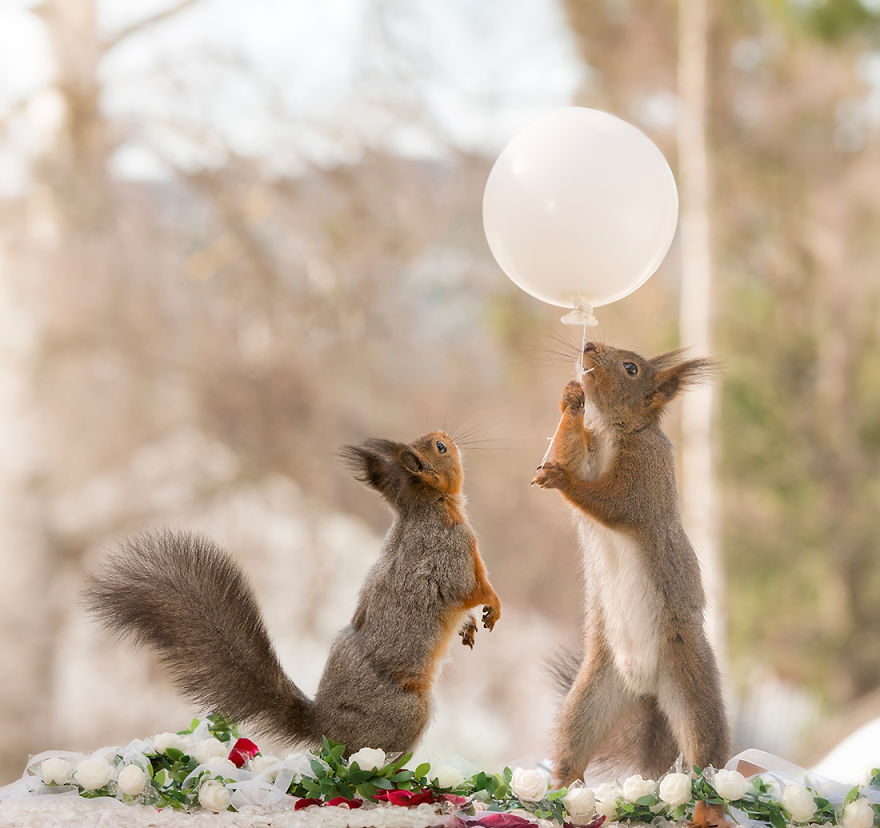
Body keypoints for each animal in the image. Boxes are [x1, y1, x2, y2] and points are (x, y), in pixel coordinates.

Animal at [86, 430, 501, 755]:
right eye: (440, 448)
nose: (447, 435)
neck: (426, 508)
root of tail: (324, 726)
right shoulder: (450, 553)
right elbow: (471, 588)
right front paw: (493, 607)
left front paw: (469, 628)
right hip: (410, 713)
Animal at [531, 341, 729, 785]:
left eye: (631, 368)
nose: (588, 345)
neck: (611, 431)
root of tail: (646, 690)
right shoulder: (587, 453)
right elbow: (571, 452)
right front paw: (571, 397)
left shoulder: (645, 474)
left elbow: (613, 503)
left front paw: (564, 482)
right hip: (592, 696)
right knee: (572, 748)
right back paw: (560, 791)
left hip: (690, 688)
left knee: (706, 756)